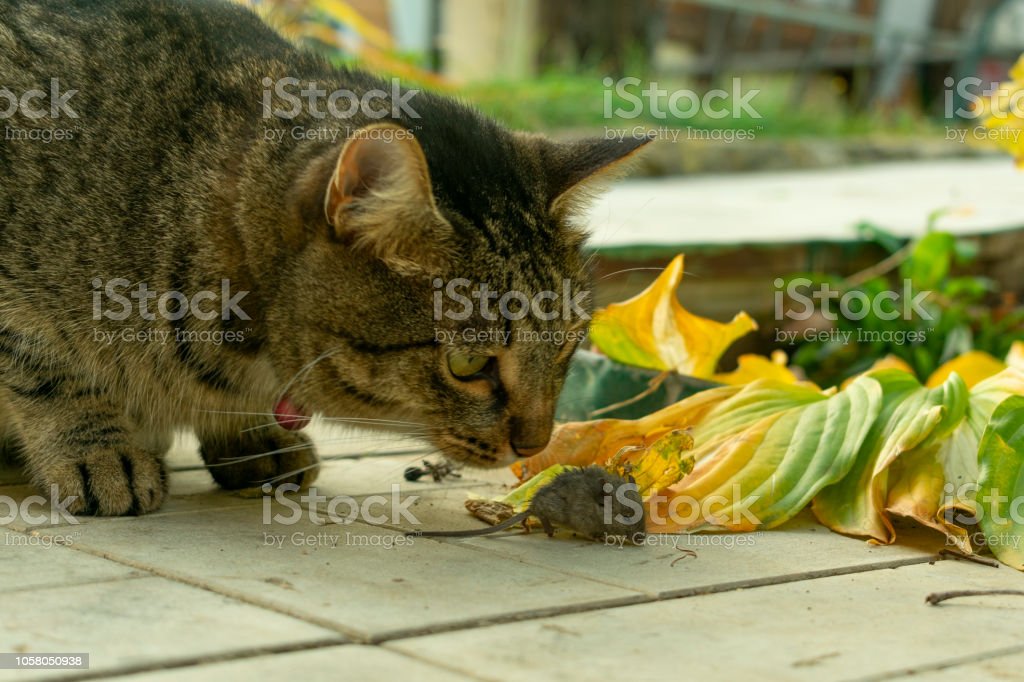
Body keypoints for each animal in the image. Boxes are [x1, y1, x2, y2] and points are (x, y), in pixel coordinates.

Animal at [2, 0, 647, 509]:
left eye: (566, 344)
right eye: (467, 365)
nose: (537, 443)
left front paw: (252, 434)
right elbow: (45, 369)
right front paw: (97, 448)